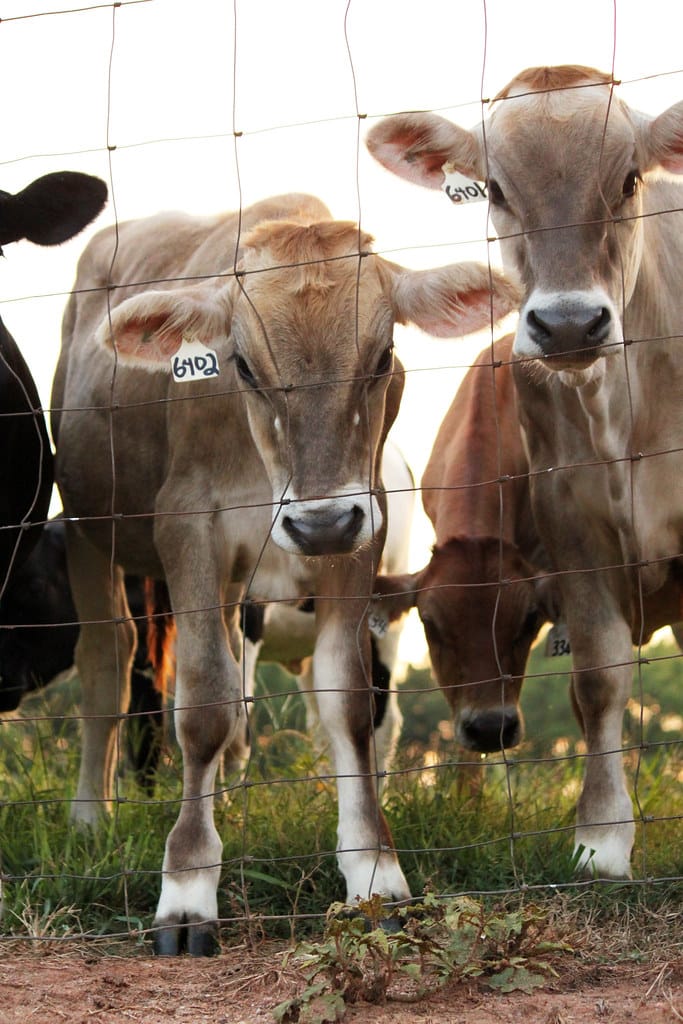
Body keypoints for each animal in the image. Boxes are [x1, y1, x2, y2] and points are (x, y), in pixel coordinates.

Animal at [50, 192, 518, 954]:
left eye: (383, 355)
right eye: (241, 364)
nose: (318, 524)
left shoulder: (361, 526)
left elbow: (348, 701)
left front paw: (374, 871)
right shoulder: (188, 527)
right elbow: (205, 705)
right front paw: (187, 889)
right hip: (89, 529)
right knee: (109, 658)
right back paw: (91, 816)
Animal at [367, 65, 683, 880]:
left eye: (629, 178)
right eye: (497, 189)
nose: (569, 324)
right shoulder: (573, 531)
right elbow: (598, 682)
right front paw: (601, 840)